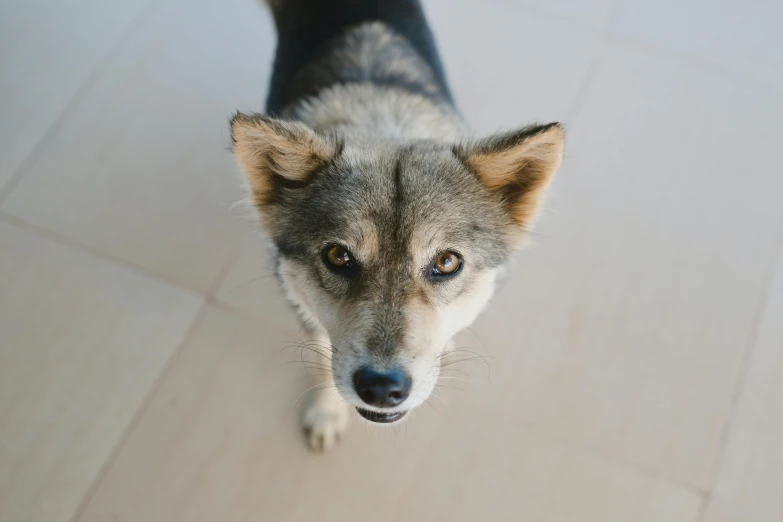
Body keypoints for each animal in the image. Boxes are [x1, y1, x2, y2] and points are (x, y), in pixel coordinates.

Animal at [230, 0, 568, 448]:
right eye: (338, 256)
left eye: (446, 262)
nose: (380, 388)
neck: (383, 119)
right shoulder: (305, 313)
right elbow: (322, 360)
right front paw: (326, 413)